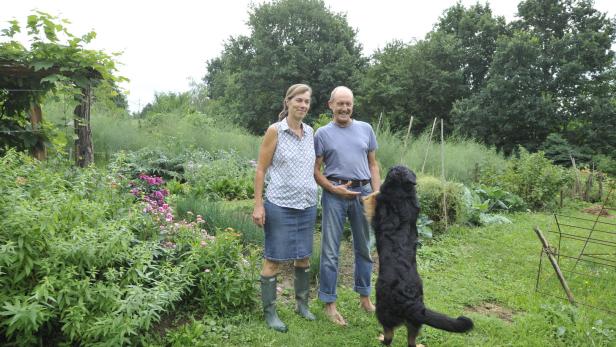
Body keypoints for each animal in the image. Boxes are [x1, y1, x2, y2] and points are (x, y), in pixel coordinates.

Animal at [364, 167, 474, 346]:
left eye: (391, 171)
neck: (403, 197)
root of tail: (410, 303)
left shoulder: (378, 210)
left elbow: (371, 202)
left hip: (383, 310)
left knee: (389, 335)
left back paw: (381, 339)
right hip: (414, 322)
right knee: (411, 341)